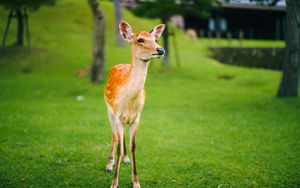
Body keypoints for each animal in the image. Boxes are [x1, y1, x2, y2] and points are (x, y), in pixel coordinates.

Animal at [103, 20, 165, 188]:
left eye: (155, 39)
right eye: (140, 40)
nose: (161, 49)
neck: (129, 103)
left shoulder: (137, 117)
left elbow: (133, 147)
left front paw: (136, 182)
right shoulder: (117, 114)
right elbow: (118, 146)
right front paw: (114, 183)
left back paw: (125, 159)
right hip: (109, 110)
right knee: (114, 135)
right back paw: (109, 165)